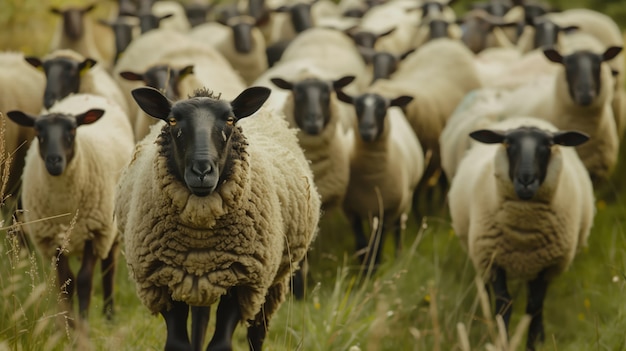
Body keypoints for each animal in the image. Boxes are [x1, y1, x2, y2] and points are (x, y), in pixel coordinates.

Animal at [6, 93, 135, 328]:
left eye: (73, 131)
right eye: (38, 132)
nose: (54, 160)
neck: (65, 203)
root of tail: (85, 95)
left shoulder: (94, 233)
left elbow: (84, 280)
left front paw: (83, 323)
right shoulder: (52, 239)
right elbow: (66, 282)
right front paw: (68, 325)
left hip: (111, 231)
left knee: (109, 269)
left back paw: (110, 315)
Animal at [114, 86, 320, 351]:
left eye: (230, 120)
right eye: (172, 120)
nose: (202, 170)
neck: (200, 235)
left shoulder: (242, 282)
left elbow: (221, 344)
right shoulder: (163, 281)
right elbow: (178, 344)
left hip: (271, 282)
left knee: (257, 332)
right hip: (199, 281)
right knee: (200, 322)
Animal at [336, 89, 424, 268]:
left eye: (383, 108)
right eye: (357, 107)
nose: (366, 130)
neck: (371, 177)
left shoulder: (388, 211)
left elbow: (378, 244)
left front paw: (372, 268)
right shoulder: (351, 211)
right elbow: (361, 243)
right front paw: (364, 267)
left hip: (404, 202)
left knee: (398, 230)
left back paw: (398, 257)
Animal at [446, 116, 592, 351]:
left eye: (548, 145)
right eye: (508, 144)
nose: (526, 180)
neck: (524, 231)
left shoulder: (546, 264)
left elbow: (534, 306)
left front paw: (534, 342)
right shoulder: (493, 259)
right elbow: (504, 304)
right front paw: (501, 341)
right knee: (484, 289)